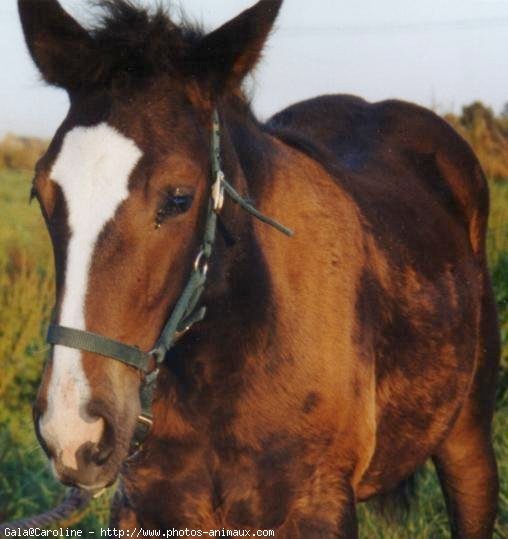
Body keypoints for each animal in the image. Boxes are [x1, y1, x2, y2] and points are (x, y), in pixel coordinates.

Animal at [18, 0, 500, 536]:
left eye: (179, 199)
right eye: (42, 193)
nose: (72, 431)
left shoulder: (320, 508)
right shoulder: (147, 509)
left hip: (467, 438)